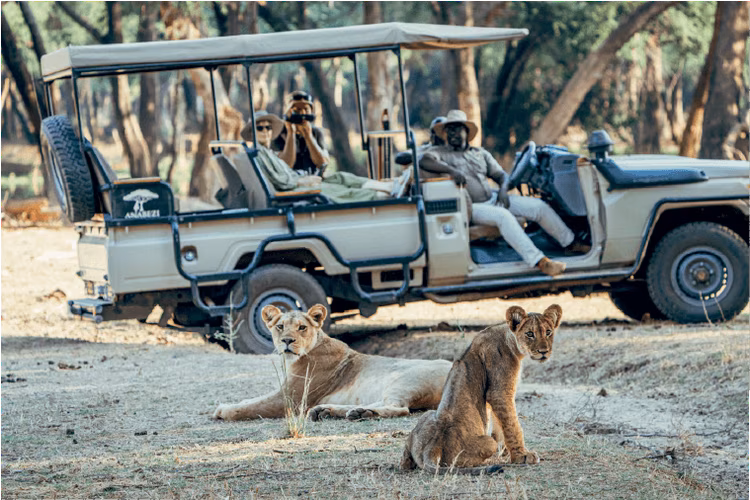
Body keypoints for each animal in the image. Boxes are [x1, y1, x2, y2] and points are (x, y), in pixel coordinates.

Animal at [212, 304, 452, 422]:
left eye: (302, 327)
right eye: (280, 326)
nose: (287, 341)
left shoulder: (290, 399)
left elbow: (251, 407)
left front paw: (223, 410)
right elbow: (253, 399)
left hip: (404, 380)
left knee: (400, 408)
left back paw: (361, 414)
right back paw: (331, 411)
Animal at [400, 304, 562, 473]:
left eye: (548, 332)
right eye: (530, 334)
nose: (544, 352)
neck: (510, 340)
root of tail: (431, 449)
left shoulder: (495, 396)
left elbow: (499, 423)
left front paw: (505, 451)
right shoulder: (500, 392)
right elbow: (512, 425)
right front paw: (522, 456)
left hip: (427, 416)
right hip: (485, 444)